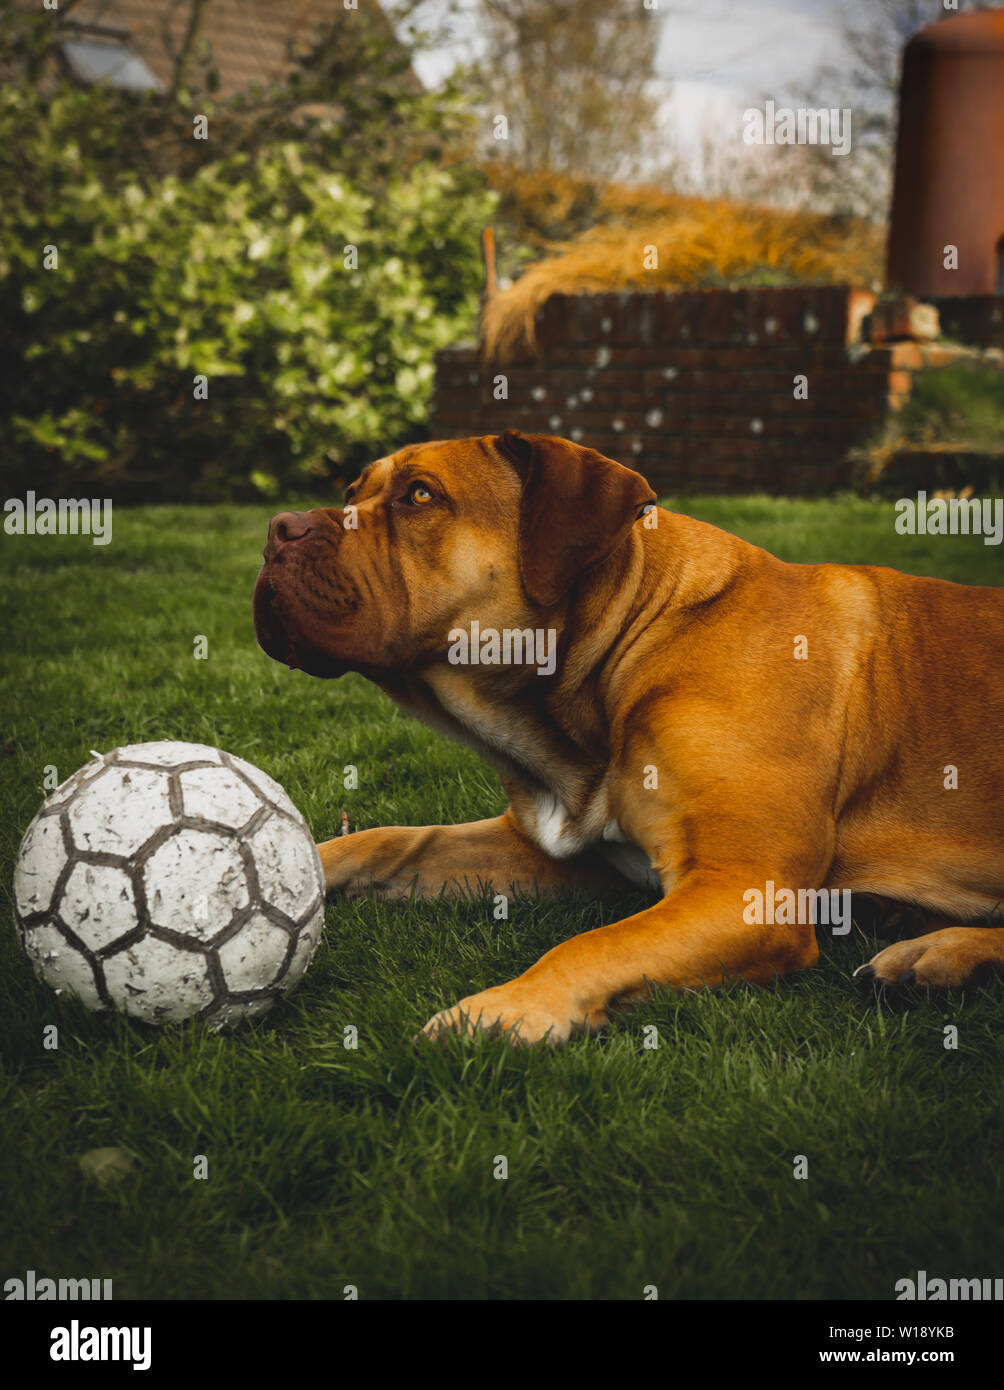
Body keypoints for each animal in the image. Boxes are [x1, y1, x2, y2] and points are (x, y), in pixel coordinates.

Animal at [251, 433, 1001, 1045]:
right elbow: (389, 840)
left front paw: (500, 1010)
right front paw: (307, 862)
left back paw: (936, 952)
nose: (279, 528)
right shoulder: (547, 850)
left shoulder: (741, 892)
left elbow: (593, 946)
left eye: (419, 496)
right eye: (352, 493)